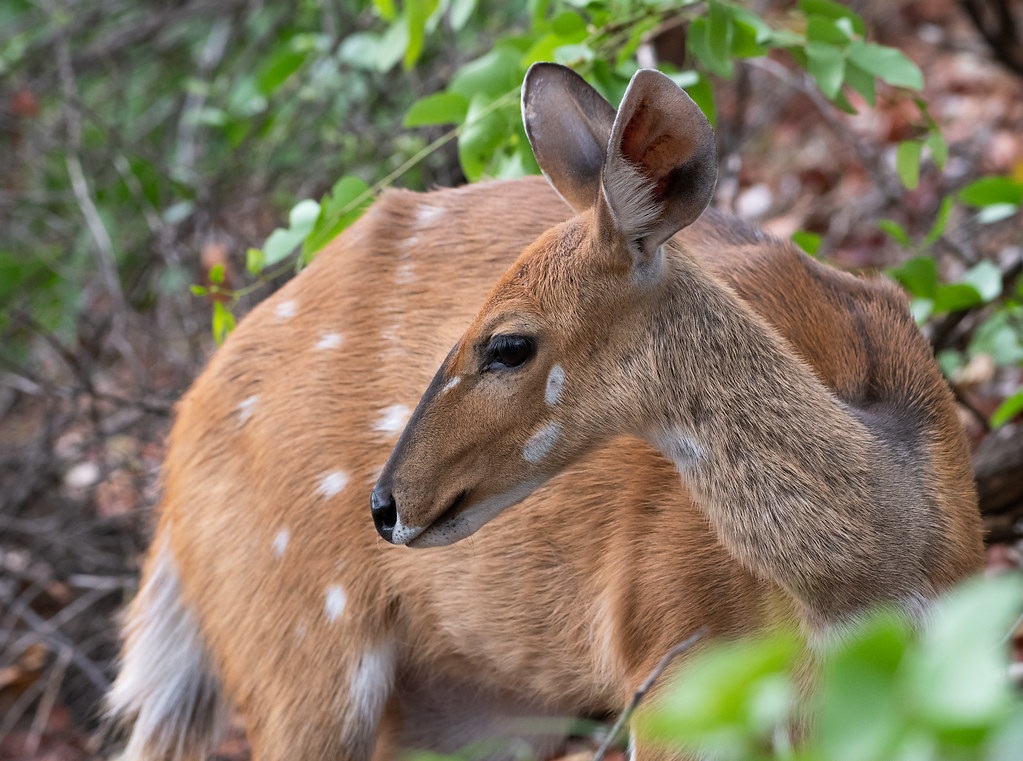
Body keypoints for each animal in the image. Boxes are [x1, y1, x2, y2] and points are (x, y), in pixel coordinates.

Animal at [107, 65, 986, 761]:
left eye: (508, 344)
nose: (385, 503)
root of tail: (180, 438)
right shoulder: (672, 667)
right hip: (301, 656)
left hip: (474, 706)